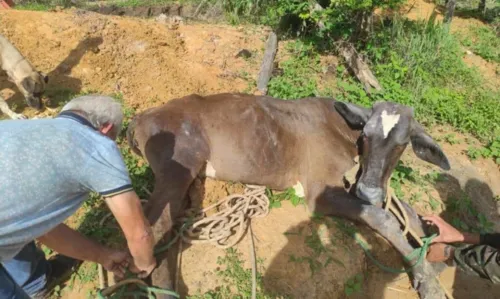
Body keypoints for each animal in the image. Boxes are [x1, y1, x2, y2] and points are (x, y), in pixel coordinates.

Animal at [127, 94, 452, 299]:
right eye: (366, 135)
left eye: (401, 144)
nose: (369, 190)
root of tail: (143, 116)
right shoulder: (320, 191)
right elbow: (382, 216)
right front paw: (429, 283)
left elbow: (406, 210)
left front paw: (437, 246)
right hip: (178, 166)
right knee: (154, 225)